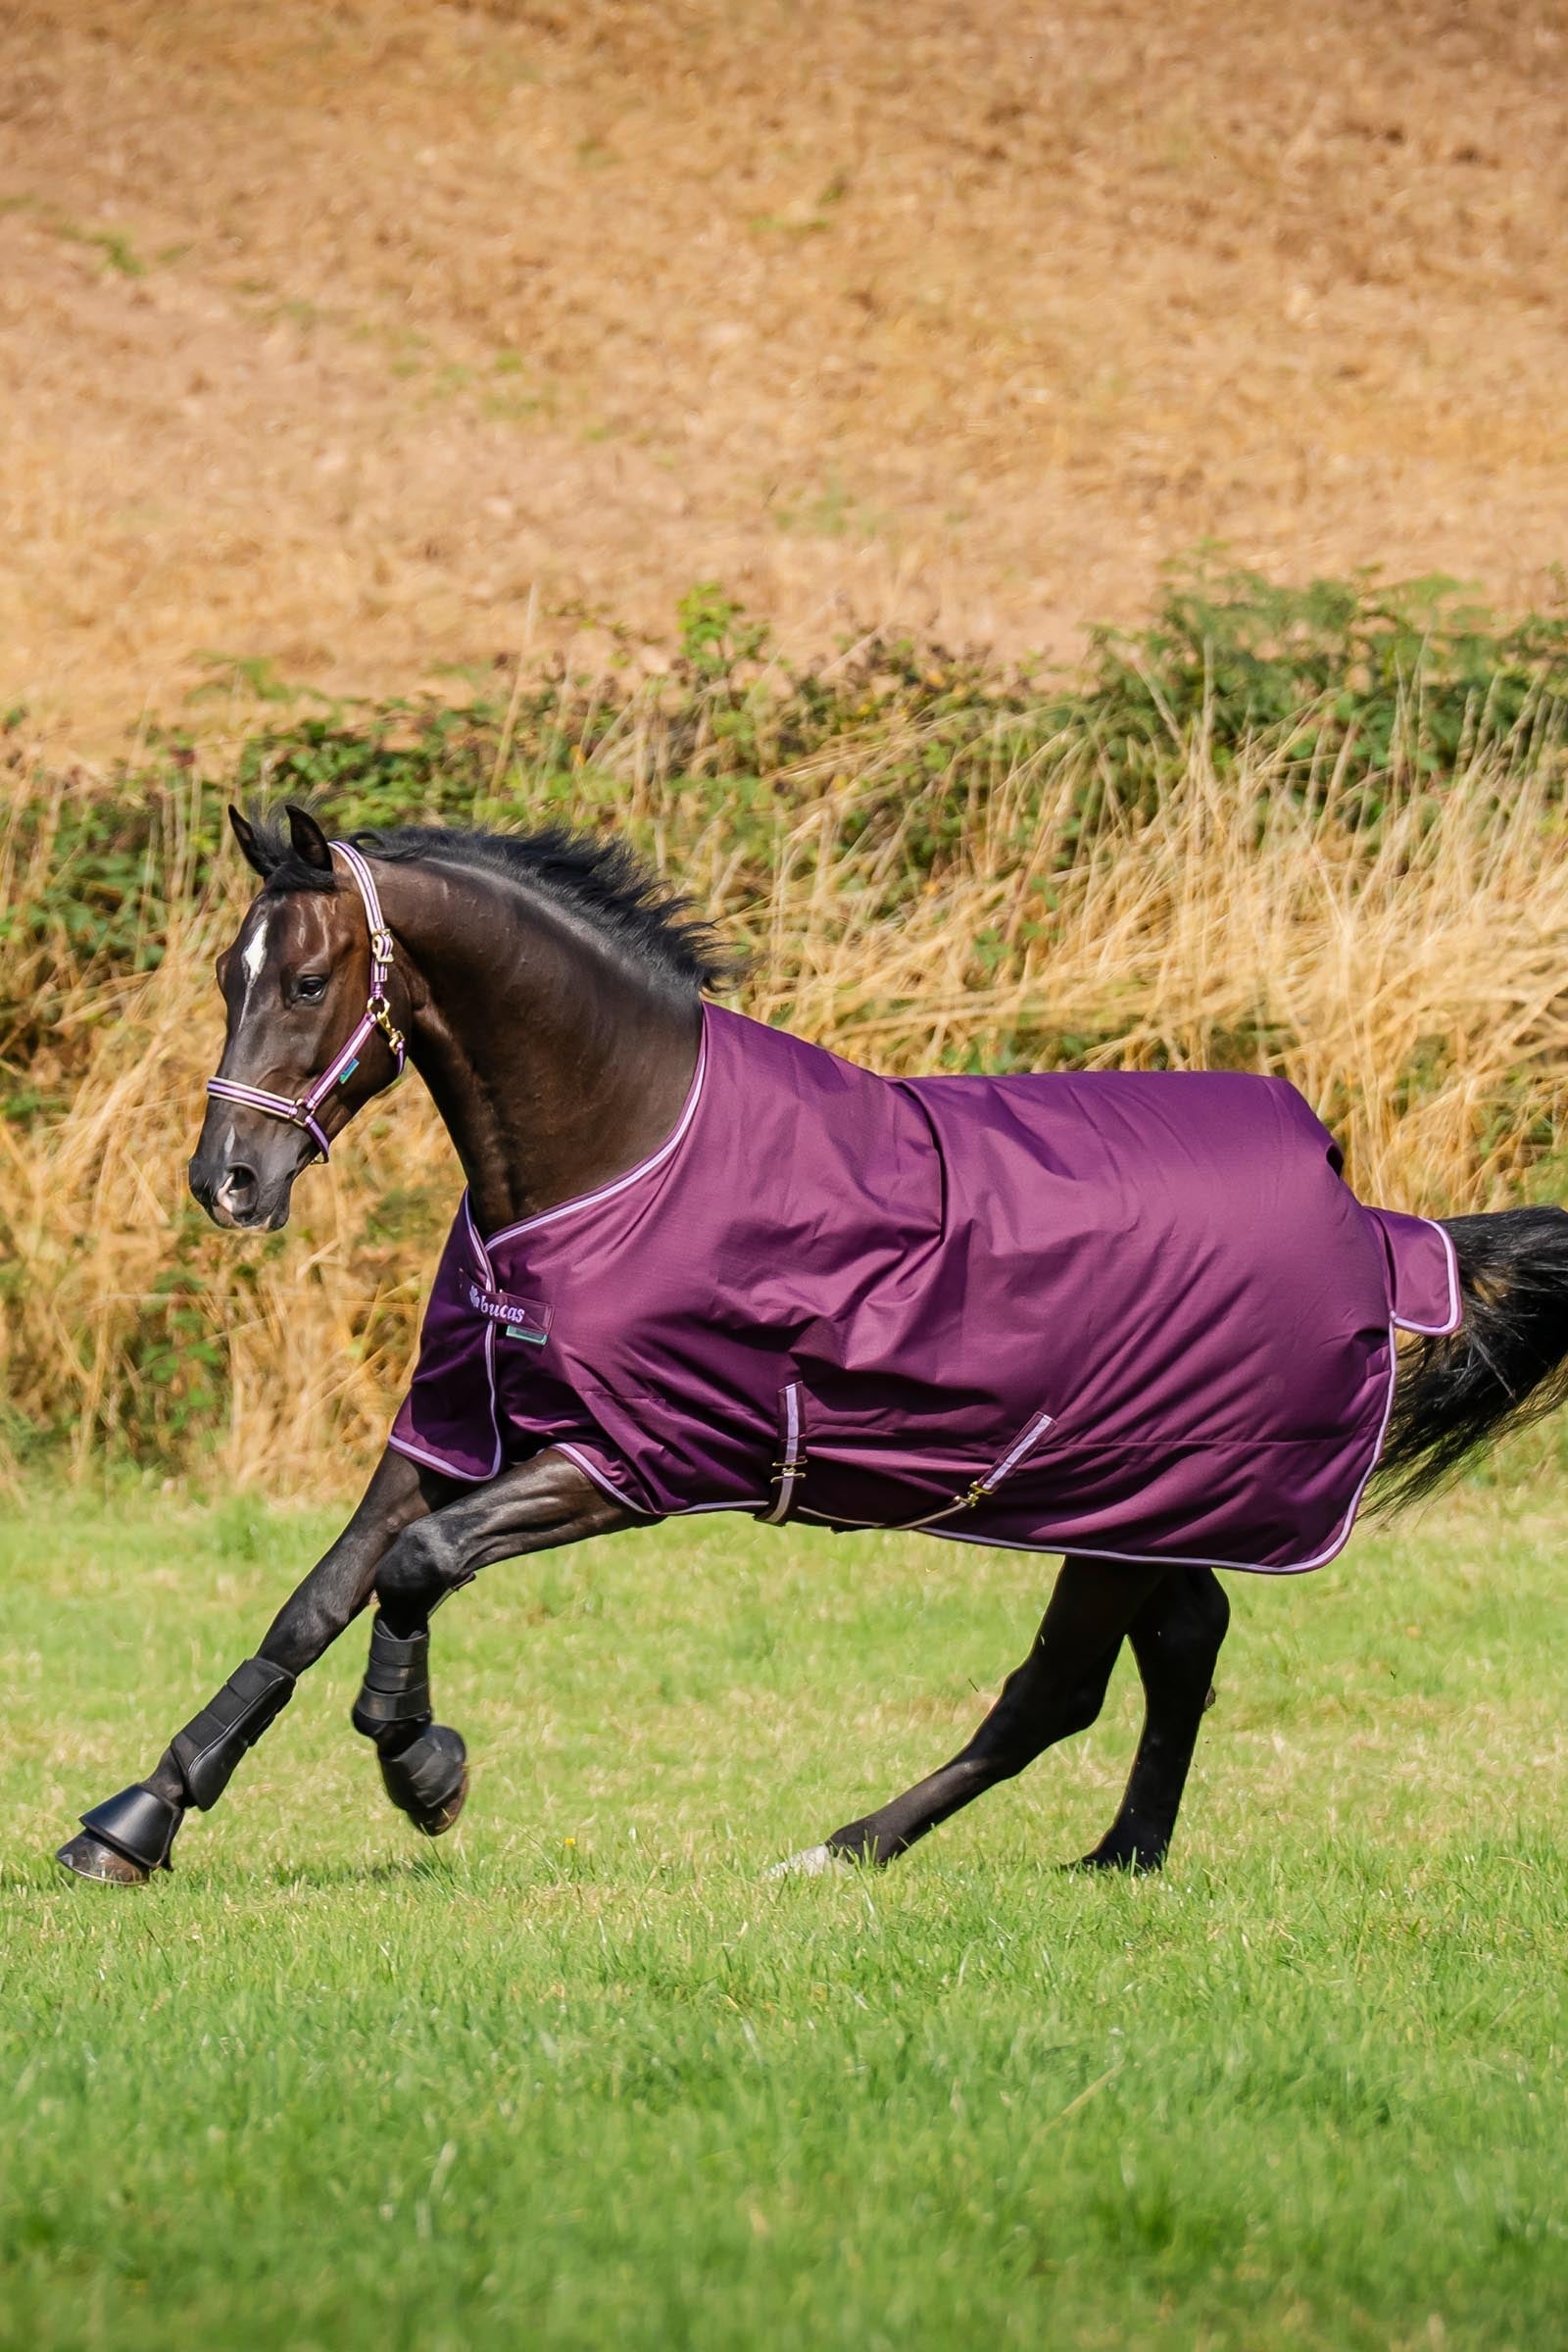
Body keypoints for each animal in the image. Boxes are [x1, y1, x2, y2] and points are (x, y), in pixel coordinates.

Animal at [56, 805, 1568, 1886]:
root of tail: (1370, 1216)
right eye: (228, 973)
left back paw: (846, 1849)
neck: (622, 1149)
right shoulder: (459, 1422)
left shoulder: (630, 1459)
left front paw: (424, 1772)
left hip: (1130, 1492)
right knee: (1181, 1641)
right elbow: (317, 1600)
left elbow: (419, 1570)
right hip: (1151, 1506)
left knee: (1061, 1687)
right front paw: (133, 1822)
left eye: (310, 979)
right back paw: (1116, 1855)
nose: (227, 1182)